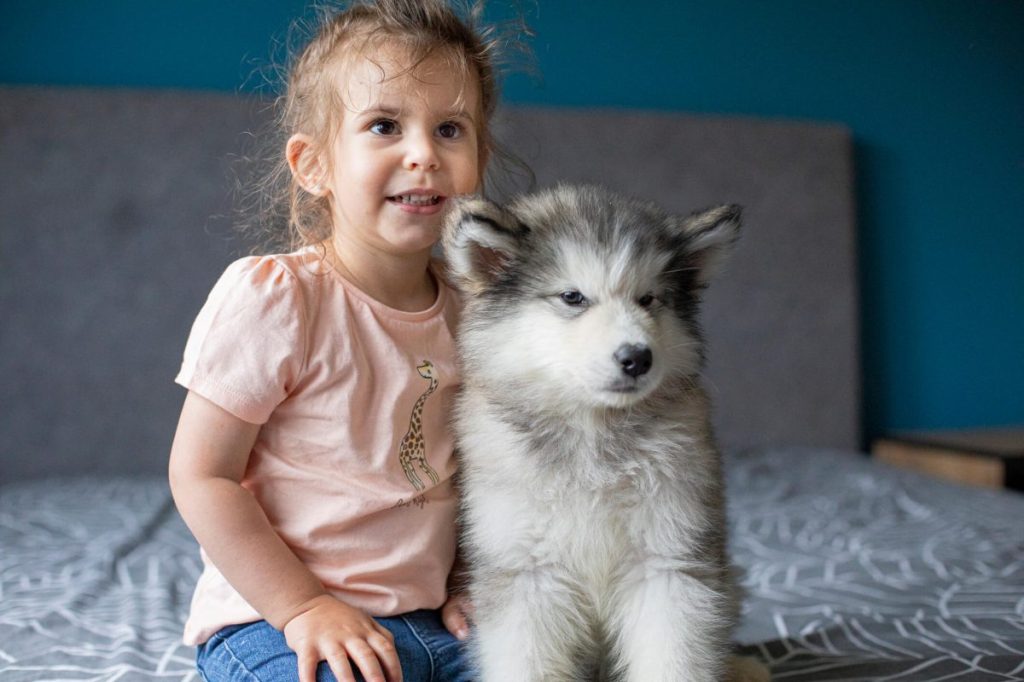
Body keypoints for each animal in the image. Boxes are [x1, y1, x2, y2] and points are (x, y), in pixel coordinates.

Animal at [442, 186, 770, 679]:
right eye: (573, 296)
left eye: (648, 299)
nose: (637, 358)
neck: (592, 434)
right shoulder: (527, 574)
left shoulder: (667, 564)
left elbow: (674, 660)